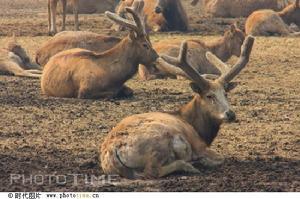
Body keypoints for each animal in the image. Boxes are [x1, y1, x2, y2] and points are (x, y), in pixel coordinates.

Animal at [99, 35, 254, 179]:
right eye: (209, 96)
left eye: (225, 93)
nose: (230, 114)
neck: (200, 130)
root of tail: (113, 152)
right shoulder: (198, 144)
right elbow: (221, 158)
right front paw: (204, 161)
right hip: (159, 142)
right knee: (152, 171)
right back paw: (192, 165)